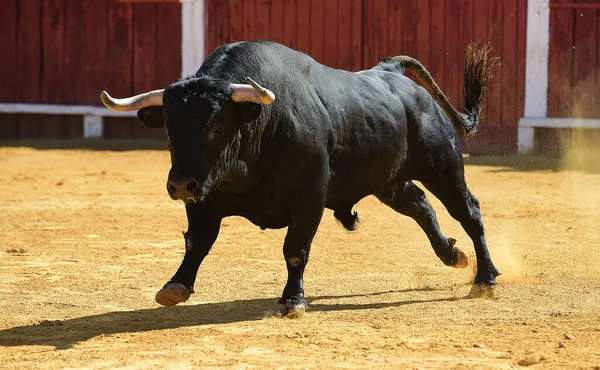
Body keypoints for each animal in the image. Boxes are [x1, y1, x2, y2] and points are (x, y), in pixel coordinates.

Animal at [101, 41, 500, 318]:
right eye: (169, 131)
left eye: (217, 127)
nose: (181, 185)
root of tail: (390, 72)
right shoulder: (207, 197)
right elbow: (197, 241)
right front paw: (175, 286)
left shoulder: (309, 198)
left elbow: (295, 249)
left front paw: (292, 301)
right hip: (388, 181)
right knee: (420, 205)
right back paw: (452, 254)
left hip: (443, 166)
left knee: (469, 212)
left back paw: (486, 279)